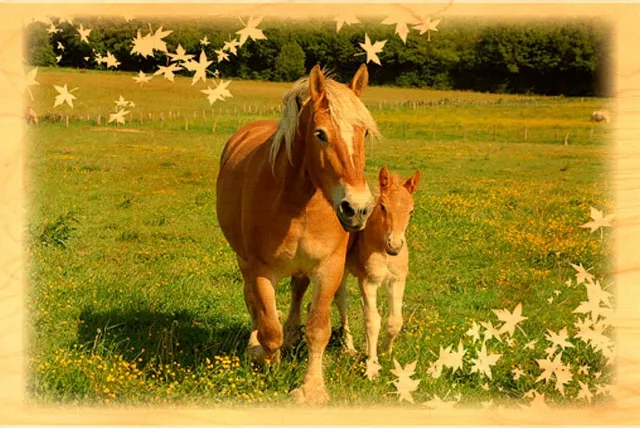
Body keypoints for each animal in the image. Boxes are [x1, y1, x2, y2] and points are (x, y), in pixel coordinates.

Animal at [216, 64, 379, 404]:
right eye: (320, 134)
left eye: (365, 132)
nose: (357, 208)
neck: (299, 202)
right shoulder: (261, 271)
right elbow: (268, 327)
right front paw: (268, 362)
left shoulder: (328, 269)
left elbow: (318, 329)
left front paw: (312, 388)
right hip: (243, 261)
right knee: (253, 302)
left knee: (296, 291)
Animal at [334, 166, 420, 380]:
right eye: (382, 206)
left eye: (411, 210)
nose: (395, 246)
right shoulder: (368, 281)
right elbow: (373, 321)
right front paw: (372, 366)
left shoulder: (397, 281)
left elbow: (395, 321)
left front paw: (384, 350)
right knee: (341, 301)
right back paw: (349, 347)